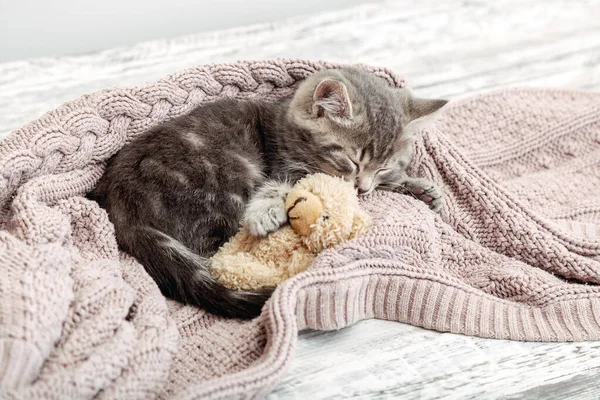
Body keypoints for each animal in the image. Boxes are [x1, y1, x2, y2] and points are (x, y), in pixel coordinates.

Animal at [89, 68, 446, 318]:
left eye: (384, 167)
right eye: (351, 159)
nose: (363, 187)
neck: (286, 128)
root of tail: (121, 206)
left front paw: (423, 188)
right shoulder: (284, 168)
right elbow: (281, 187)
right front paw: (266, 212)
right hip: (226, 176)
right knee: (223, 248)